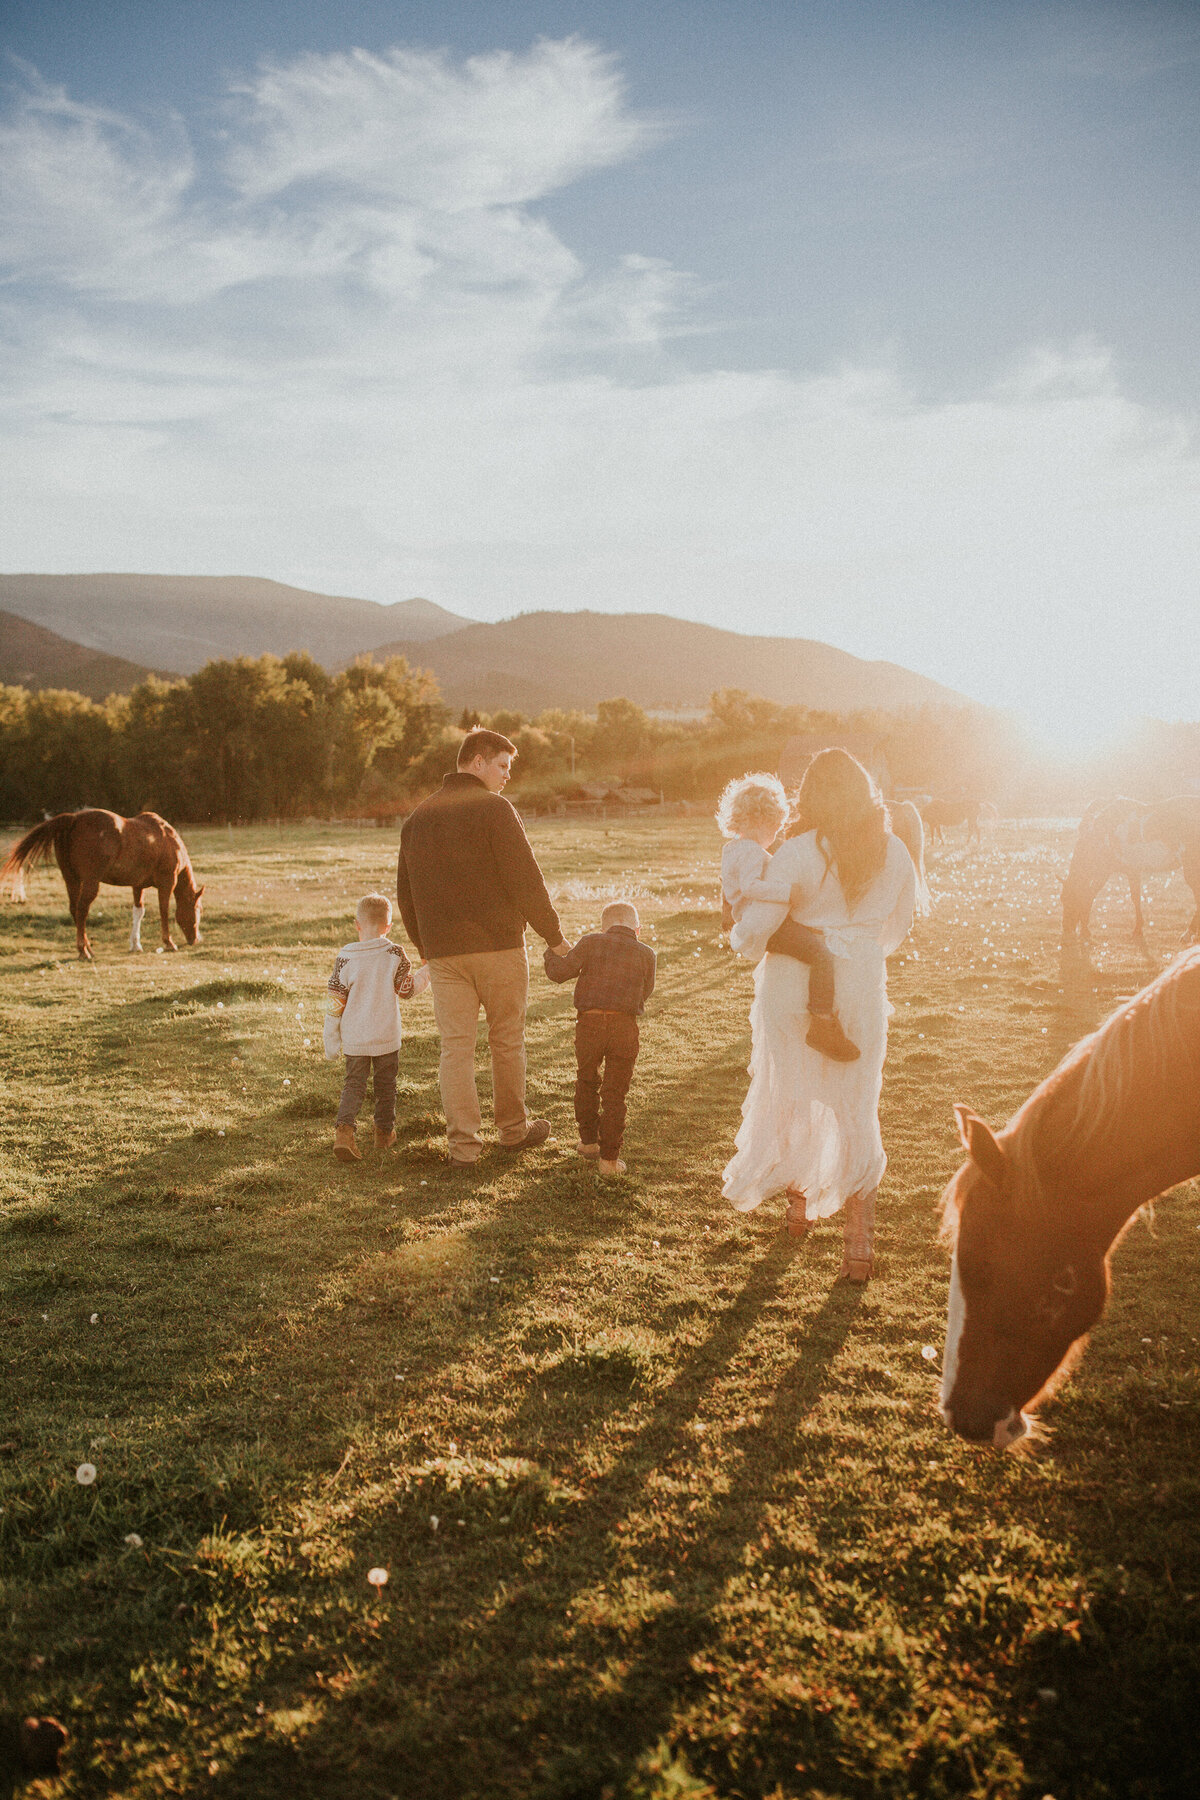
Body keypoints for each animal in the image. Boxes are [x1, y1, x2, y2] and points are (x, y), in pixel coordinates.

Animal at [0, 813, 204, 964]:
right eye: (197, 909)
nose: (195, 939)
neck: (168, 840)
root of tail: (74, 818)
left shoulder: (137, 886)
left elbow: (138, 912)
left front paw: (135, 945)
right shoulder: (166, 883)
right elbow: (164, 911)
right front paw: (168, 942)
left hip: (72, 880)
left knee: (74, 910)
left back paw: (87, 948)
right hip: (91, 882)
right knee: (81, 911)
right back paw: (83, 951)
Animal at [1057, 799, 1200, 950]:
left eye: (1071, 899)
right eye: (1062, 898)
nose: (1066, 928)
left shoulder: (1110, 872)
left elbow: (1092, 895)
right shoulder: (1130, 871)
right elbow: (1134, 897)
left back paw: (1188, 933)